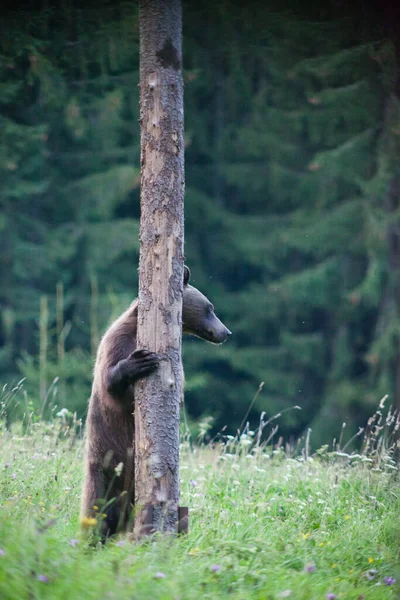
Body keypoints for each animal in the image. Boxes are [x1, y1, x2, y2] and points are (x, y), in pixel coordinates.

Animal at [80, 264, 231, 536]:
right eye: (210, 307)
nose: (225, 332)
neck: (137, 330)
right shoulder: (116, 342)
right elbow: (110, 380)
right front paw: (137, 363)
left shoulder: (176, 364)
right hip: (103, 464)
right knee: (96, 509)